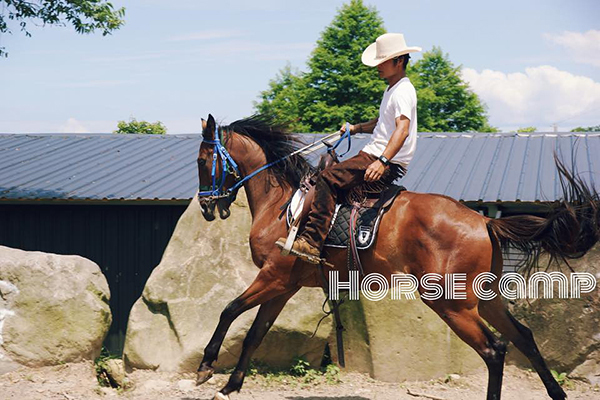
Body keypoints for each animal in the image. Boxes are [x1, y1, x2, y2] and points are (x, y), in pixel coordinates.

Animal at [195, 114, 596, 398]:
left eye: (203, 160)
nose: (205, 206)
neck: (281, 204)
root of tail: (483, 220)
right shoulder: (283, 285)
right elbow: (254, 334)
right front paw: (230, 386)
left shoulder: (272, 277)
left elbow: (228, 310)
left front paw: (206, 366)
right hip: (485, 300)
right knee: (523, 337)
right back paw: (557, 393)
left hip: (452, 304)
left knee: (494, 350)